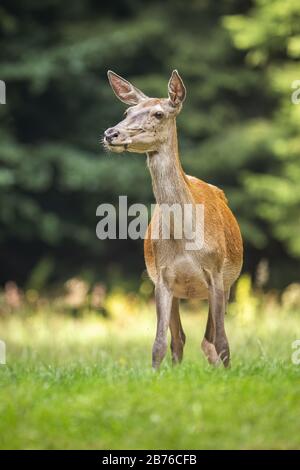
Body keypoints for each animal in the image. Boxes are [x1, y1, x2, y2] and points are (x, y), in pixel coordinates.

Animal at [103, 70, 244, 370]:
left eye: (158, 113)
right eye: (127, 111)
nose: (111, 133)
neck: (185, 239)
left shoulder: (217, 274)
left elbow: (223, 343)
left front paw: (229, 374)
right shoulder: (163, 278)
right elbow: (158, 344)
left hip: (224, 285)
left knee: (209, 340)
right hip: (177, 291)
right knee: (181, 340)